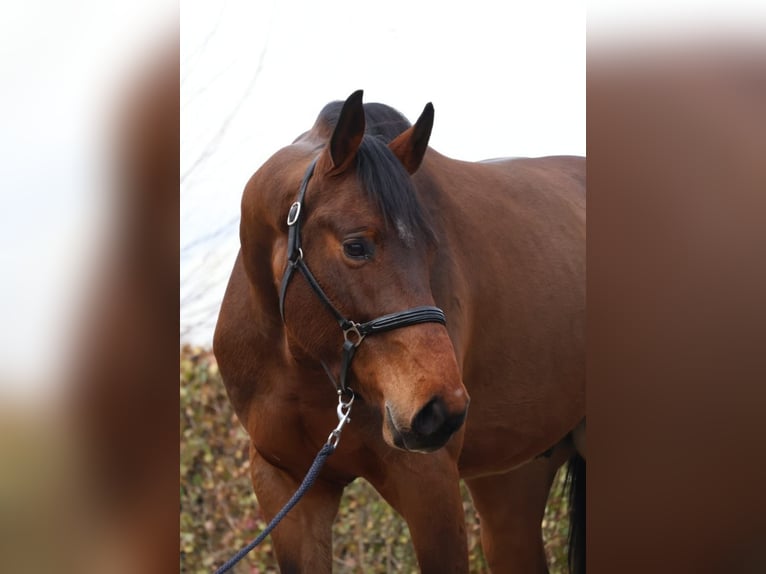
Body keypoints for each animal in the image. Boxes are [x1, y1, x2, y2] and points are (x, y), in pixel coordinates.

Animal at [213, 92, 584, 572]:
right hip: (512, 481)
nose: (442, 409)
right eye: (356, 246)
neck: (301, 364)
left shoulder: (428, 482)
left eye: (433, 248)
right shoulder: (289, 487)